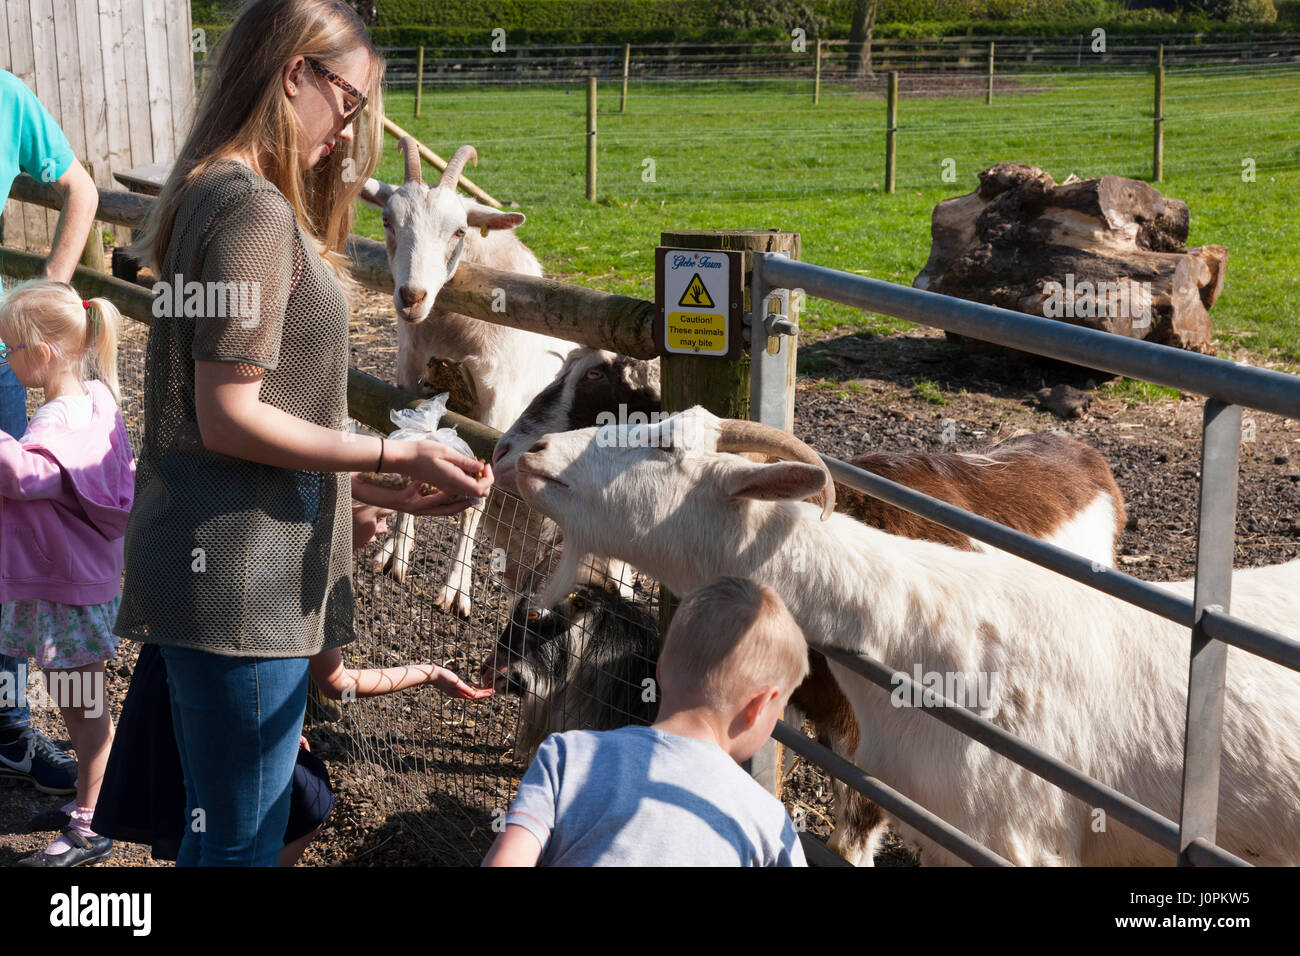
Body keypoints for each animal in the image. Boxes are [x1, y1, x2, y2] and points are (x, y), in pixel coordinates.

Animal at [358, 138, 577, 616]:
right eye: (387, 220)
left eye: (459, 231)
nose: (412, 296)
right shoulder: (408, 380)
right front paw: (395, 554)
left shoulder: (498, 407)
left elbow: (477, 497)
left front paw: (455, 589)